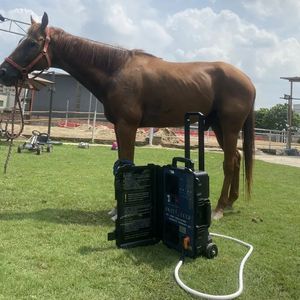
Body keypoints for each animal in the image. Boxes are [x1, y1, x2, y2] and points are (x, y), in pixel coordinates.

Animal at [0, 12, 255, 219]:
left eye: (32, 43)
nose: (4, 71)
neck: (116, 71)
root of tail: (248, 81)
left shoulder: (127, 126)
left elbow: (127, 163)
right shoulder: (118, 127)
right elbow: (121, 162)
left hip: (229, 127)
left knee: (229, 163)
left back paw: (219, 208)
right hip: (219, 127)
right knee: (236, 158)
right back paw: (230, 202)